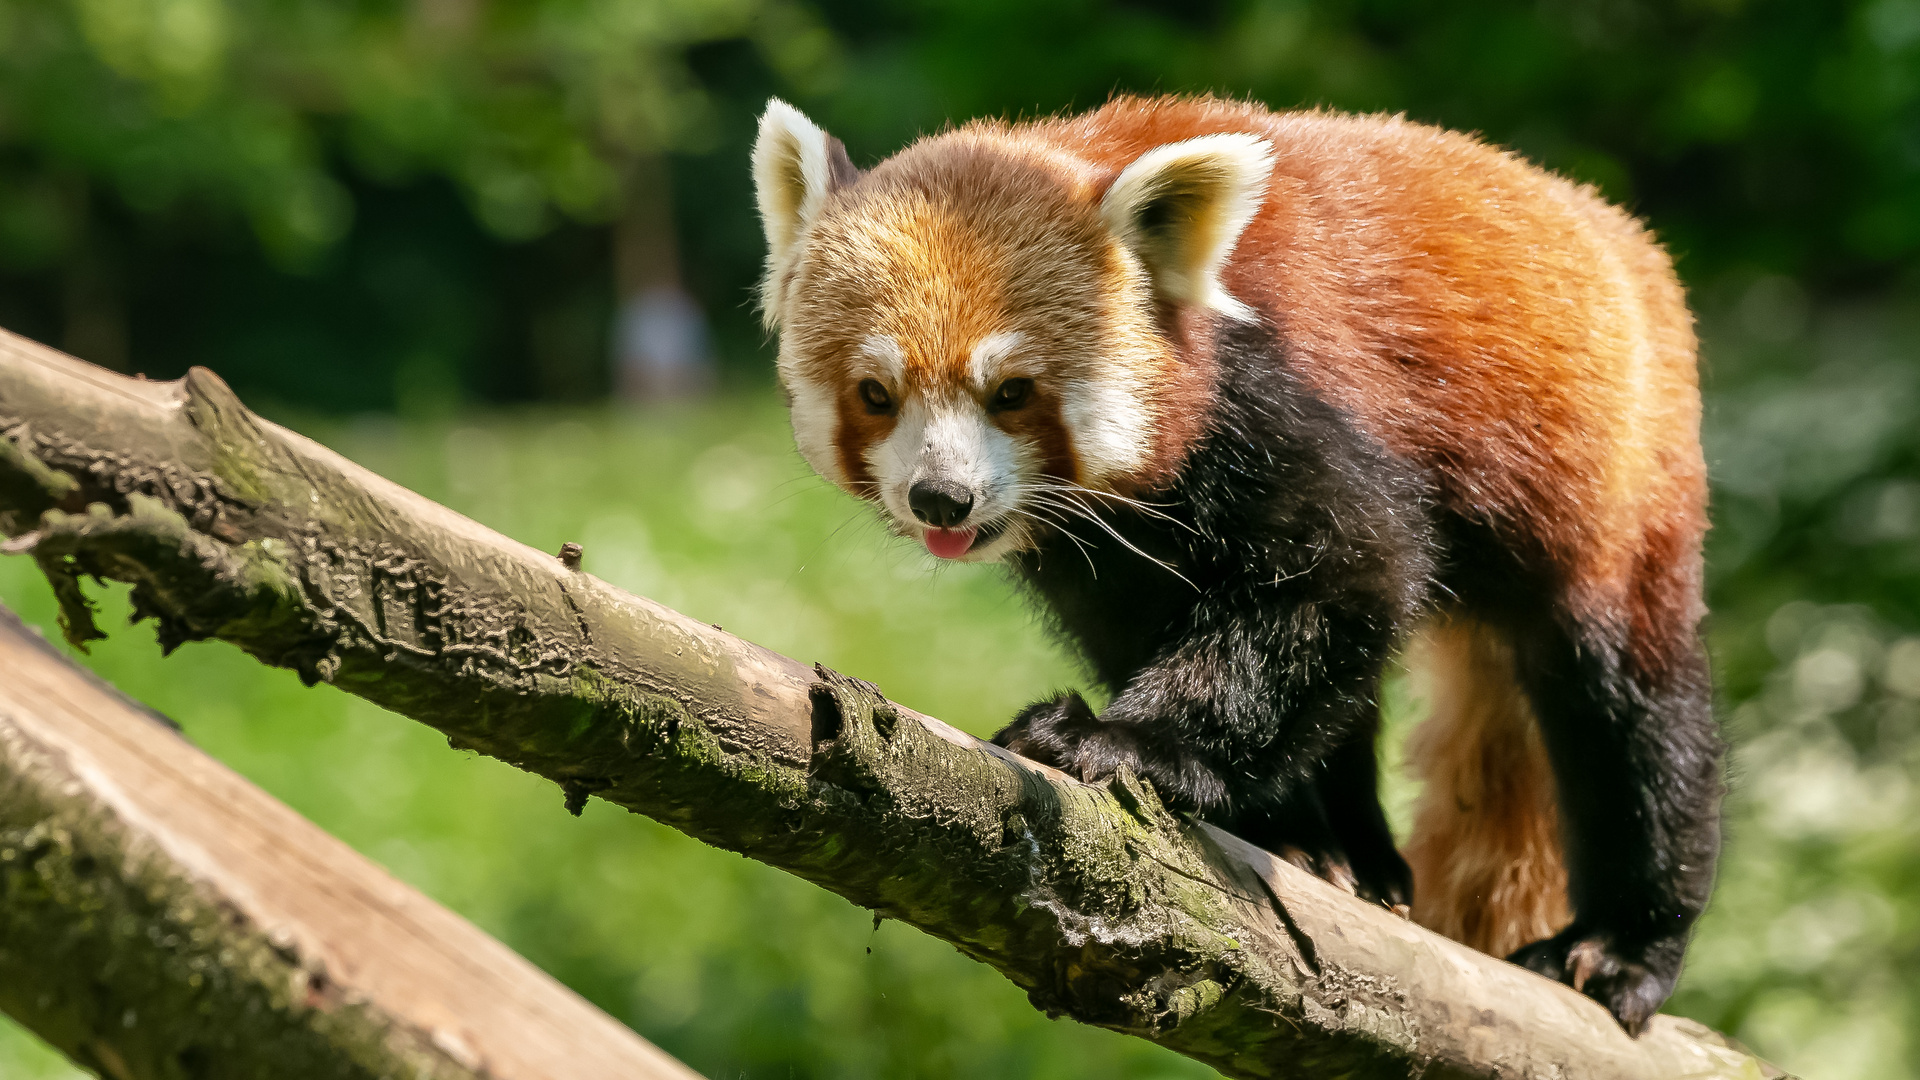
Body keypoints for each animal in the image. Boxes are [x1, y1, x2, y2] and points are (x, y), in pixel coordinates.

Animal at [744, 96, 1712, 1030]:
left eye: (1011, 392)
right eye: (877, 394)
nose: (941, 500)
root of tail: (1615, 231)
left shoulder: (1285, 396)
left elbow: (1346, 576)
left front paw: (1123, 744)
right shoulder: (1106, 548)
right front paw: (1278, 826)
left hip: (1618, 481)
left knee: (1628, 708)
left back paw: (1623, 945)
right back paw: (1354, 855)